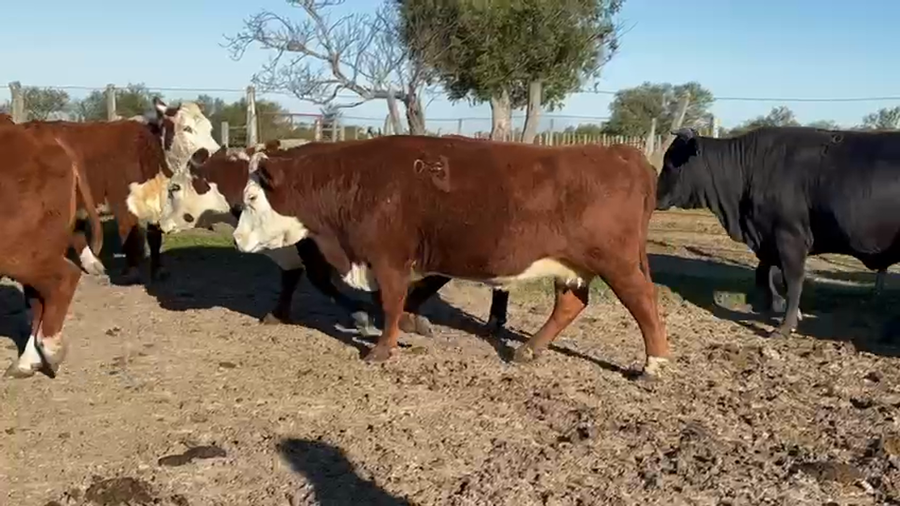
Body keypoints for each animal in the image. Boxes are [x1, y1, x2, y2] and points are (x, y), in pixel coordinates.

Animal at [230, 135, 669, 378]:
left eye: (251, 198)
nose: (236, 238)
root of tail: (623, 154)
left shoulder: (388, 258)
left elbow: (391, 302)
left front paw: (382, 349)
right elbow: (398, 300)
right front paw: (407, 325)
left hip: (616, 262)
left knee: (644, 301)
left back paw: (654, 364)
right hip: (572, 265)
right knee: (571, 303)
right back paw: (529, 349)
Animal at [656, 126, 900, 337]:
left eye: (670, 163)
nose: (656, 197)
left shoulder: (790, 236)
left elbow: (792, 281)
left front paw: (785, 326)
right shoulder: (768, 239)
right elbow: (766, 273)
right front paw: (778, 306)